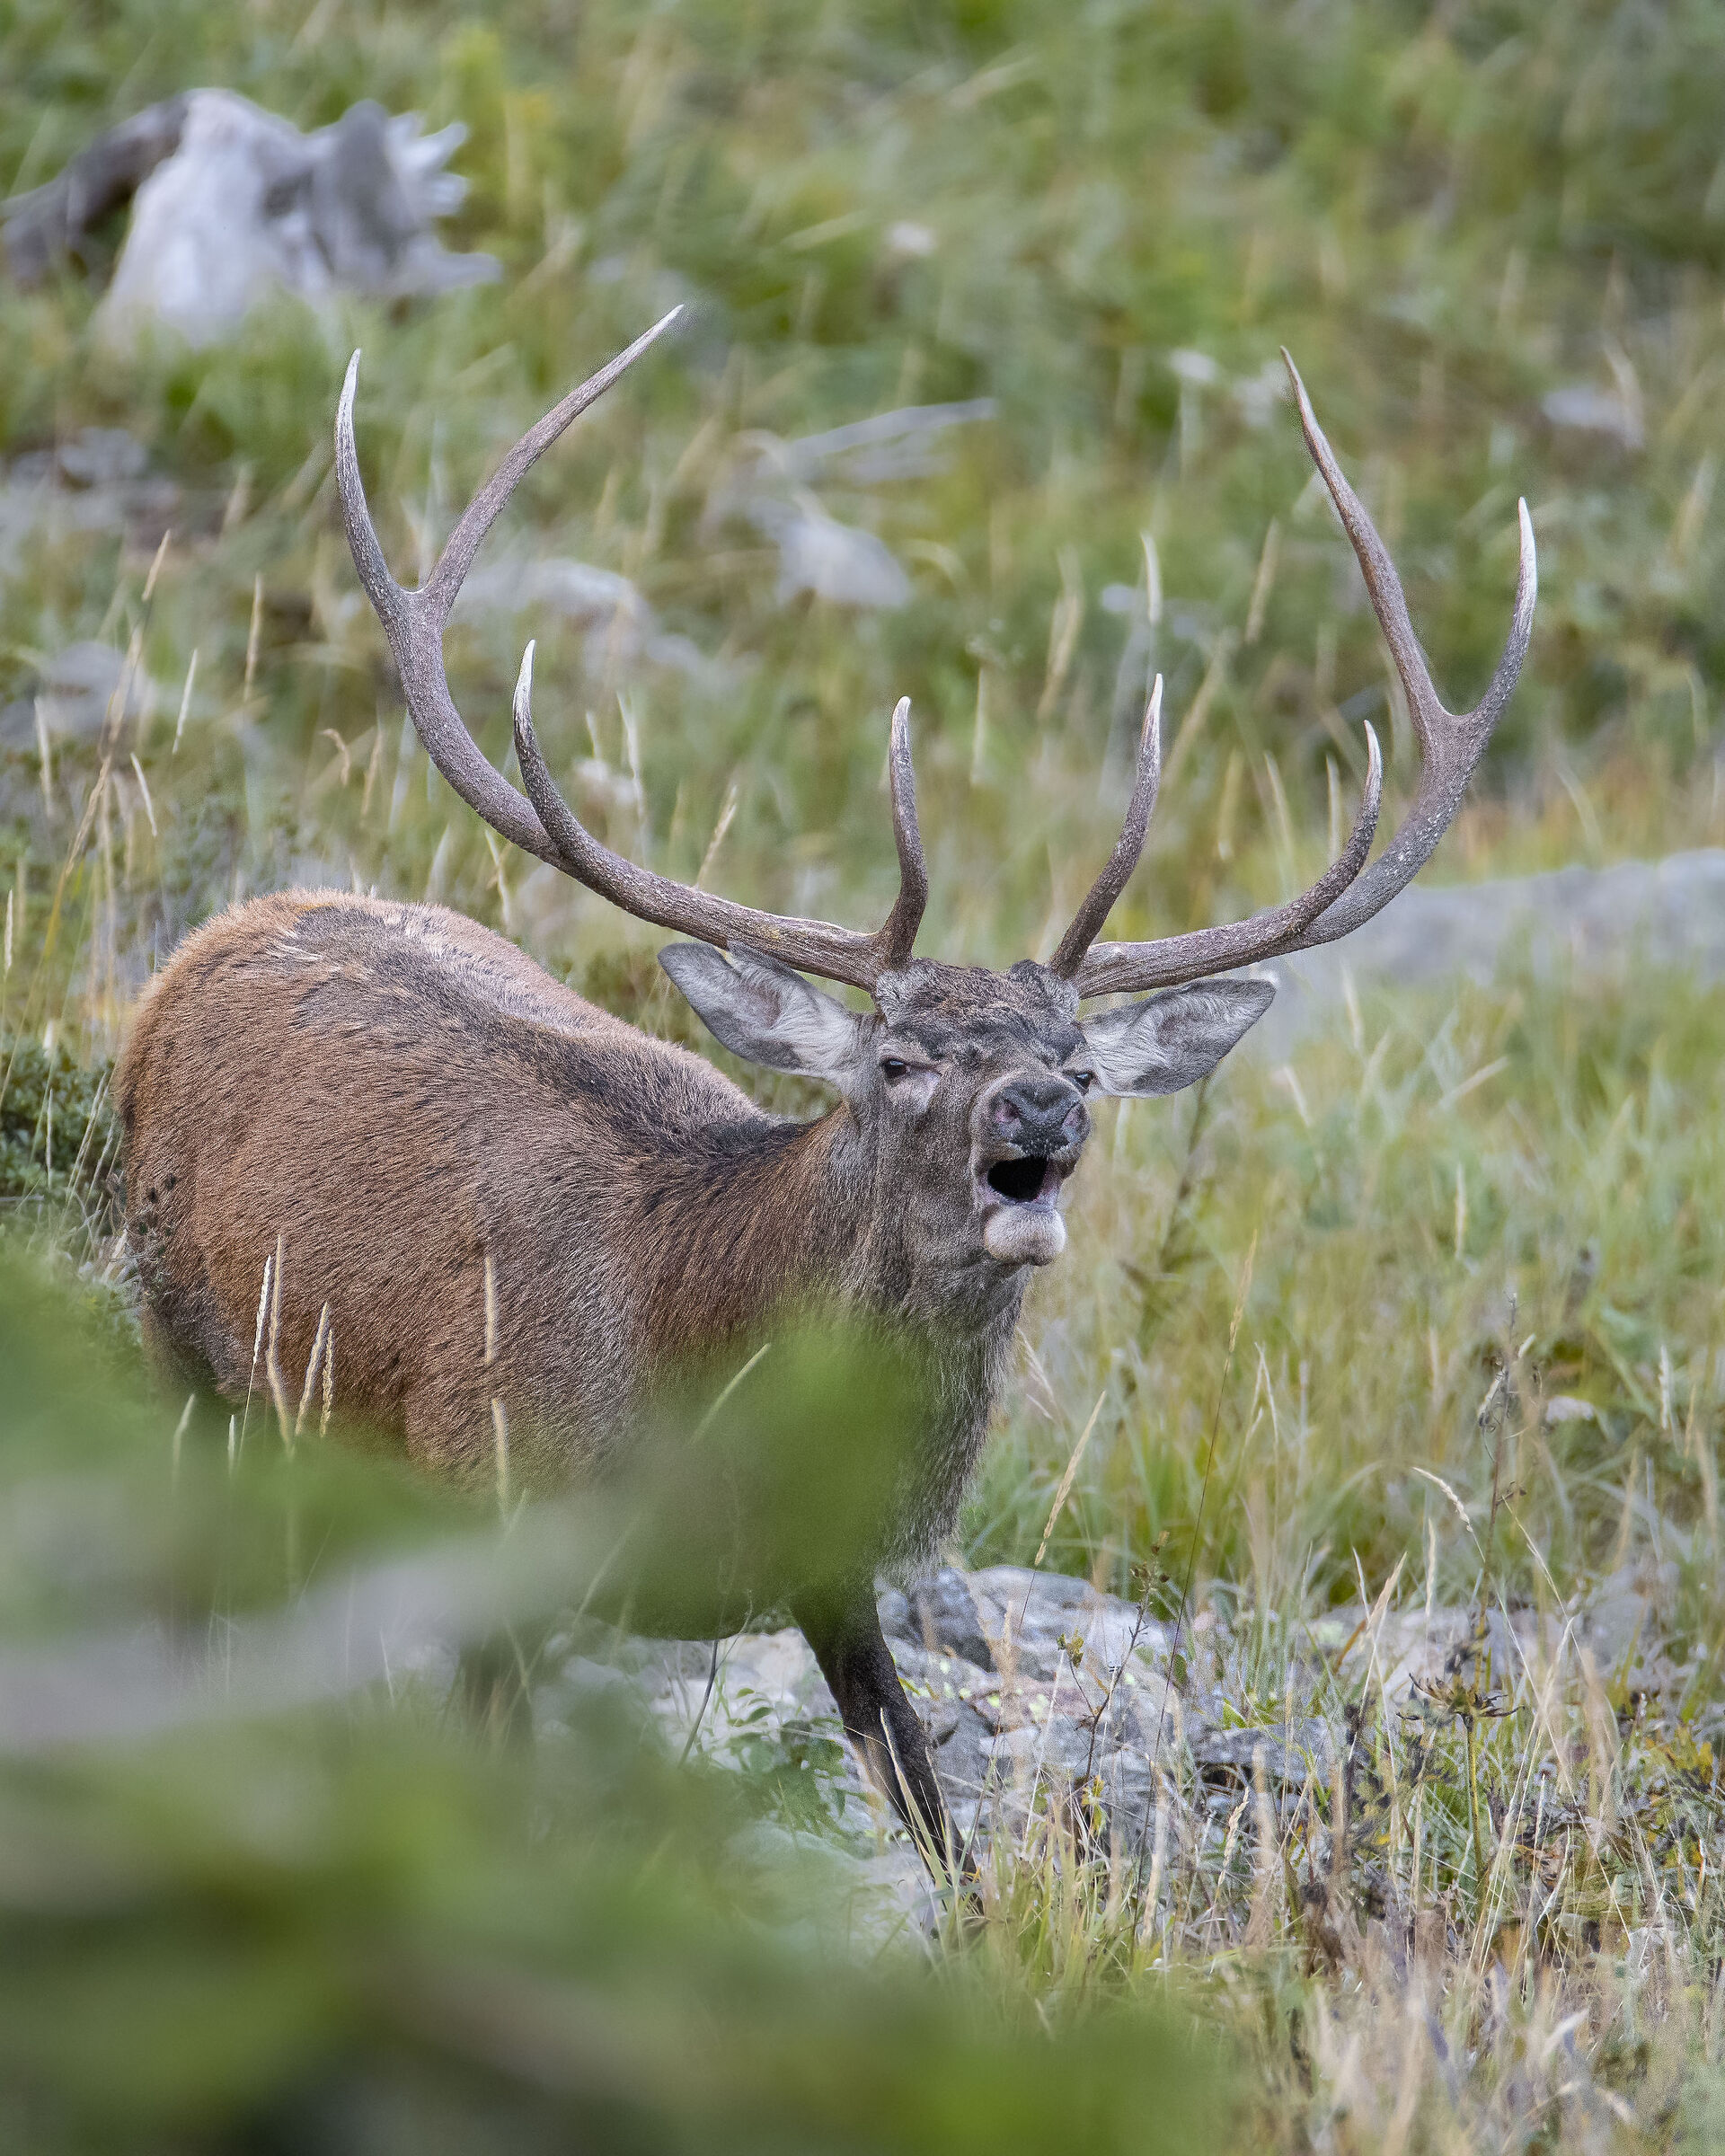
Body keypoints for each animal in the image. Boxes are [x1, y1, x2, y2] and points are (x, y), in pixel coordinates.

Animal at [116, 306, 1535, 1866]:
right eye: (901, 1062)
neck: (696, 1374)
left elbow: (934, 1817)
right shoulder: (486, 1516)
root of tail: (209, 943)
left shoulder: (842, 1586)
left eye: (1081, 1063)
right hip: (181, 1350)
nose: (1038, 1113)